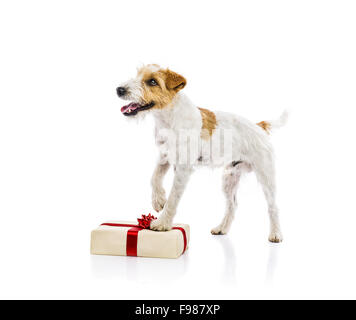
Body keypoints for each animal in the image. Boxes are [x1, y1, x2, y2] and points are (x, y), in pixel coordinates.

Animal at [117, 63, 286, 241]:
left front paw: (162, 223)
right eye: (137, 75)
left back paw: (275, 234)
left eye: (152, 81)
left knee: (273, 207)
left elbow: (173, 198)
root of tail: (259, 126)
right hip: (229, 178)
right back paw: (221, 228)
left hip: (266, 176)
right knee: (232, 205)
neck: (168, 118)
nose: (119, 89)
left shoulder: (183, 169)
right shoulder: (164, 157)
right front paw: (158, 200)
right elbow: (155, 177)